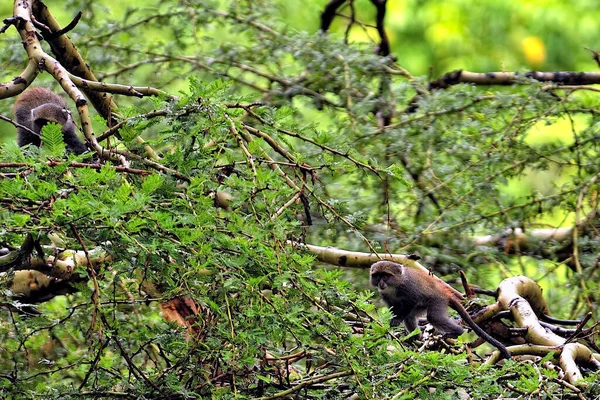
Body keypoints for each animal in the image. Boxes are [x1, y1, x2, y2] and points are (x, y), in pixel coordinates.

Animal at [370, 260, 510, 360]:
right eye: (377, 276)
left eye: (386, 276)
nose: (381, 283)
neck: (394, 285)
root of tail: (445, 293)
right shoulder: (386, 295)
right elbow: (394, 308)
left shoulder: (408, 287)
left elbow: (411, 301)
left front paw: (397, 320)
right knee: (410, 317)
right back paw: (416, 339)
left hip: (437, 300)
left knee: (433, 317)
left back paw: (457, 332)